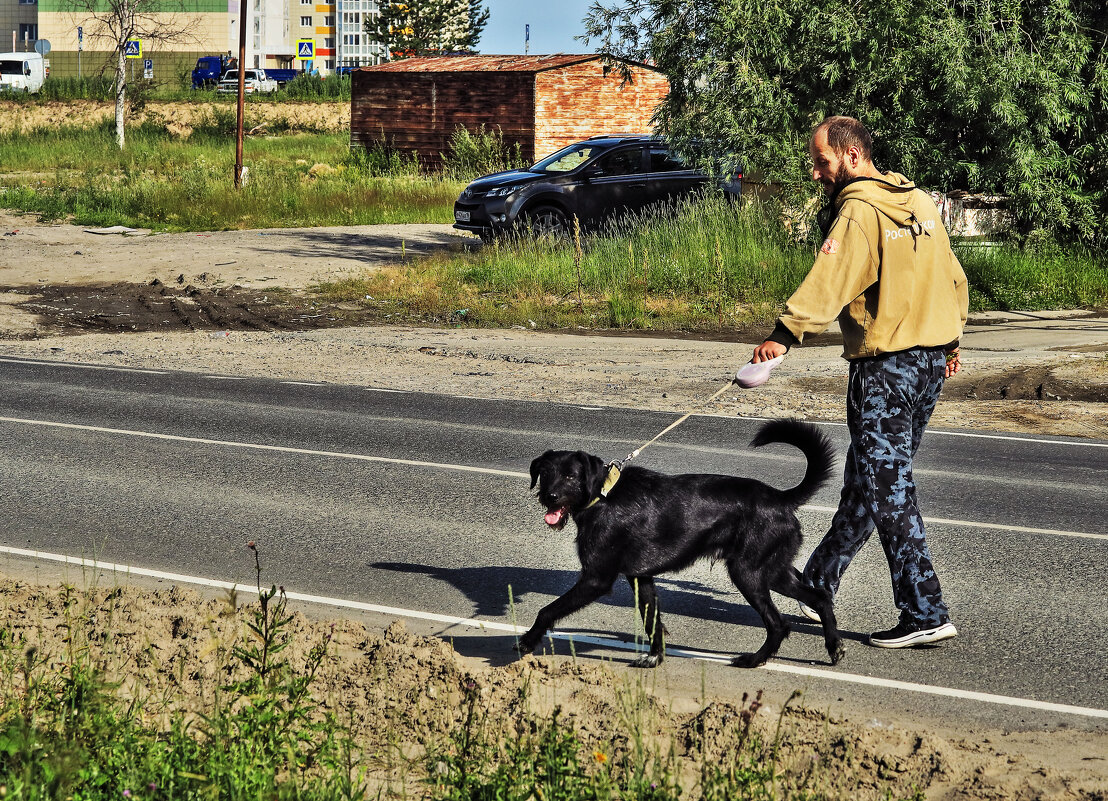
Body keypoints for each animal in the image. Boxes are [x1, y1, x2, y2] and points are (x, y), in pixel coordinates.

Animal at [518, 418, 837, 669]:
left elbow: (548, 610)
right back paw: (834, 647)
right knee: (820, 597)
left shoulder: (596, 579)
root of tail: (780, 498)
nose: (549, 497)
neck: (603, 496)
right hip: (774, 571)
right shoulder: (641, 577)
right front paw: (655, 658)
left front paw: (527, 641)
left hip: (748, 574)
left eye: (570, 476)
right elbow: (652, 620)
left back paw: (754, 660)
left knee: (778, 624)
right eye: (545, 474)